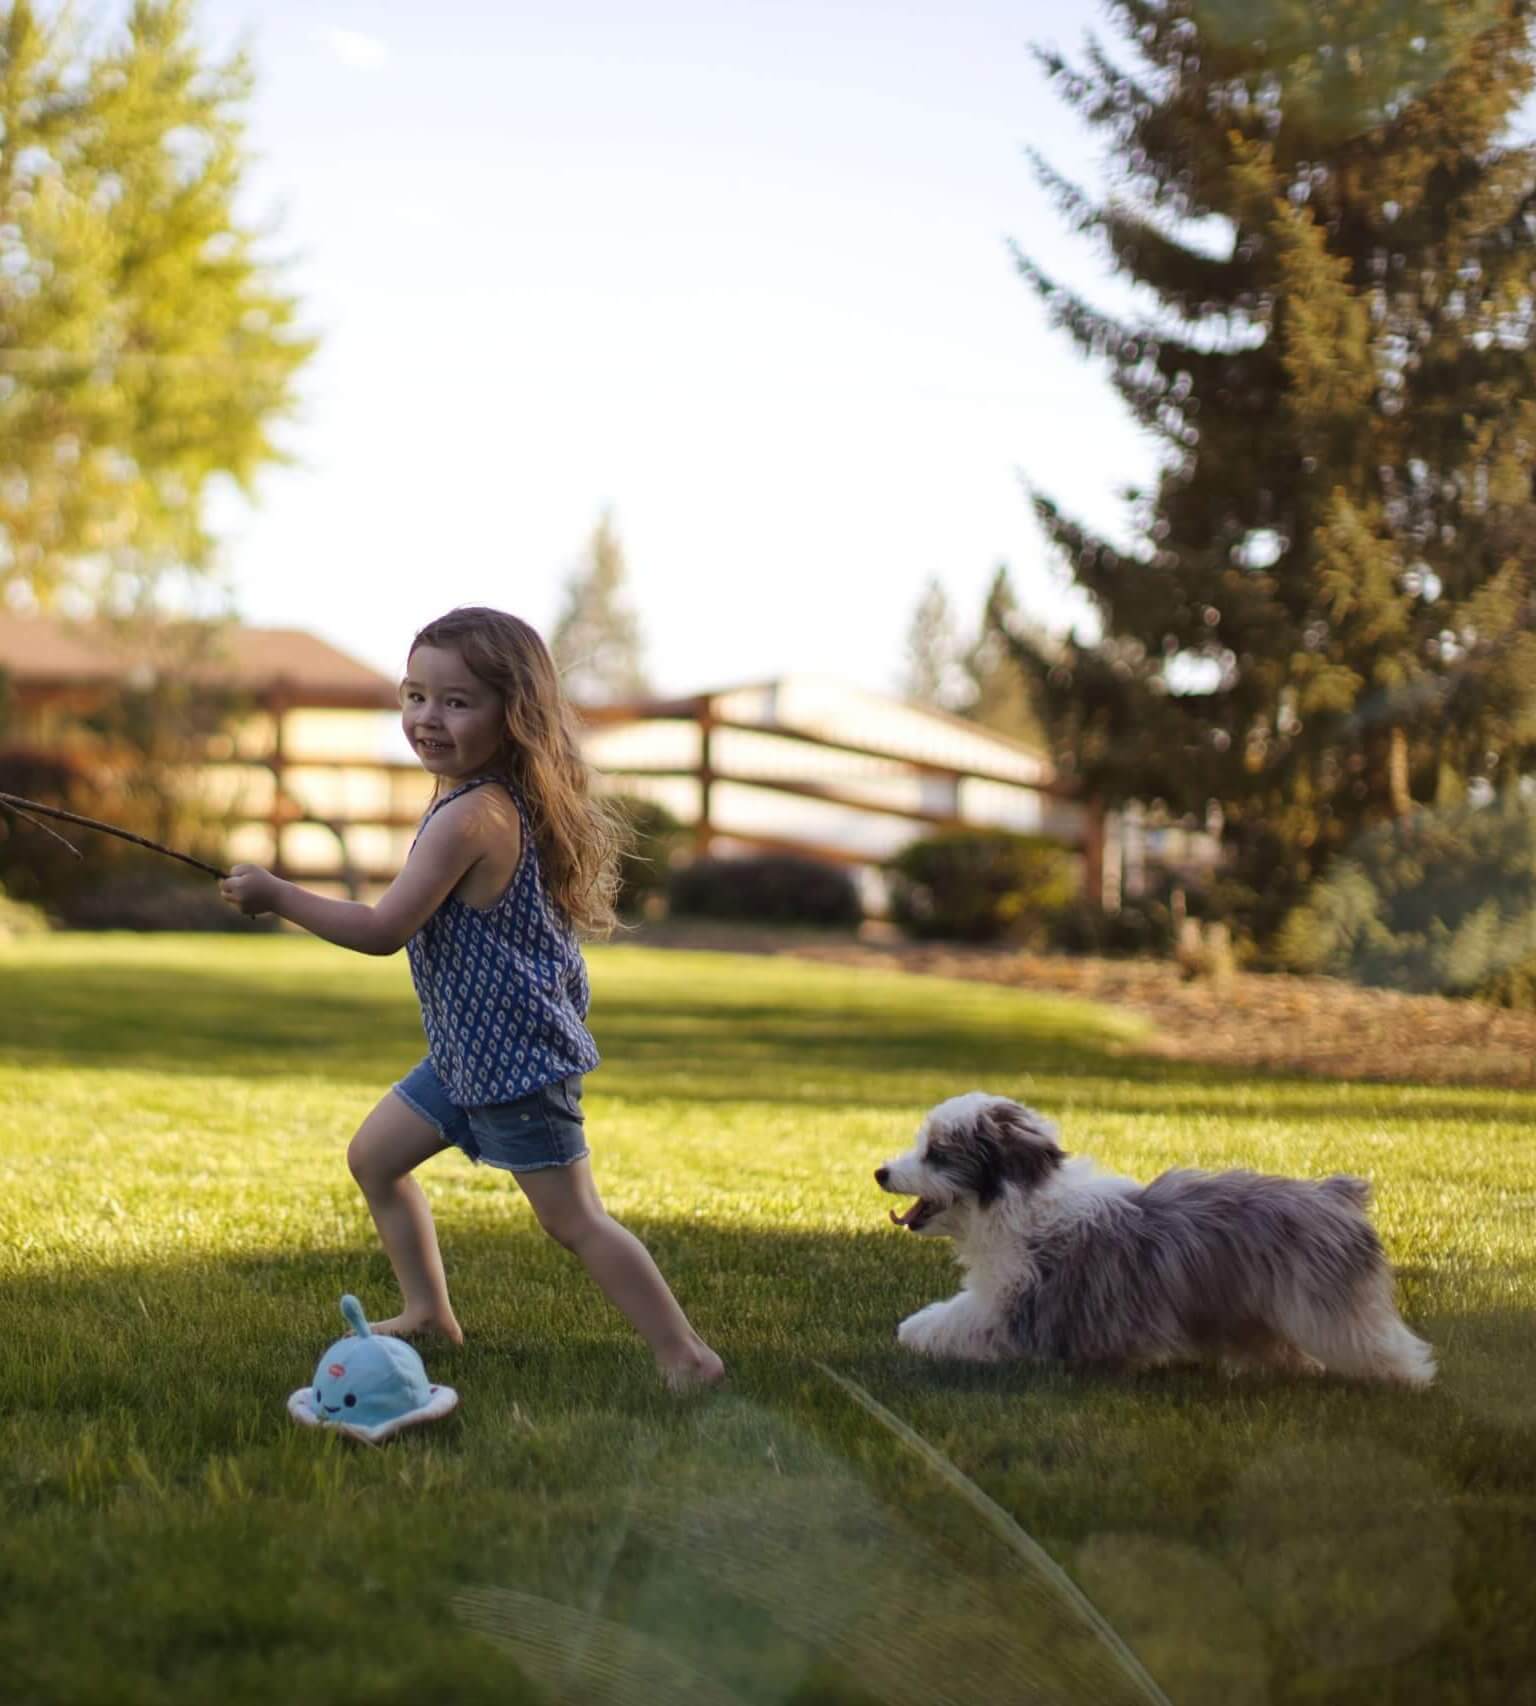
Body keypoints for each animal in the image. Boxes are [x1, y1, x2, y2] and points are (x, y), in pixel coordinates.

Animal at [873, 1091, 1440, 1385]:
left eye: (936, 1154)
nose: (881, 1172)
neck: (1022, 1201)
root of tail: (1337, 1194)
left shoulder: (1017, 1310)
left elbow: (948, 1324)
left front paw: (912, 1333)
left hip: (1329, 1306)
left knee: (1380, 1344)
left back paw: (1407, 1379)